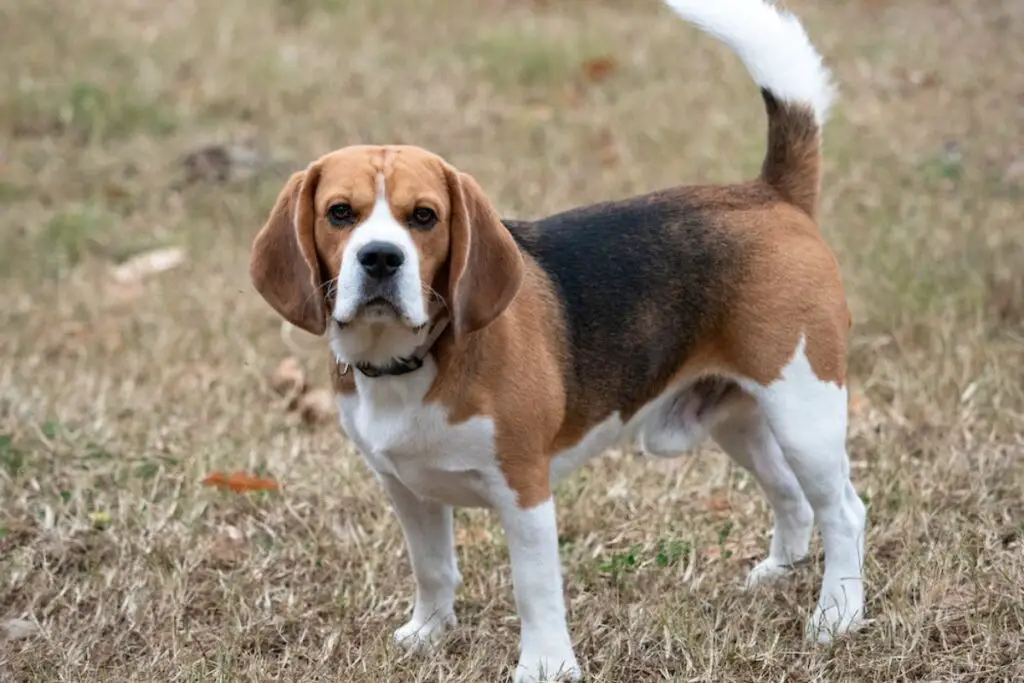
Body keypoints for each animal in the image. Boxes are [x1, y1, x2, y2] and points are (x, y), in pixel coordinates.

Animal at [245, 1, 864, 679]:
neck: (414, 362)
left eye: (425, 217)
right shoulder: (406, 488)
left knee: (843, 510)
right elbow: (432, 567)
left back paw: (838, 616)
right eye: (339, 212)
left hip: (804, 408)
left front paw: (545, 665)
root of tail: (770, 193)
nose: (381, 258)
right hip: (737, 417)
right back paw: (780, 571)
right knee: (790, 494)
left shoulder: (524, 489)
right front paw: (430, 632)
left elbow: (534, 588)